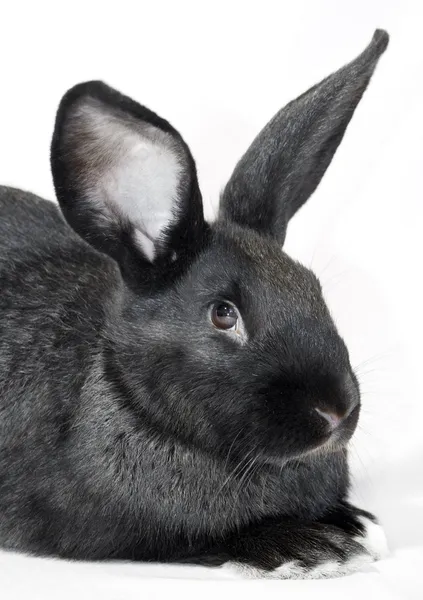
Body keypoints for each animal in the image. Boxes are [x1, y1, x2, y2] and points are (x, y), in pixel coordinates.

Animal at [0, 30, 390, 580]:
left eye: (313, 288)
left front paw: (357, 523)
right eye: (223, 314)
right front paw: (315, 548)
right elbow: (209, 536)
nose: (336, 412)